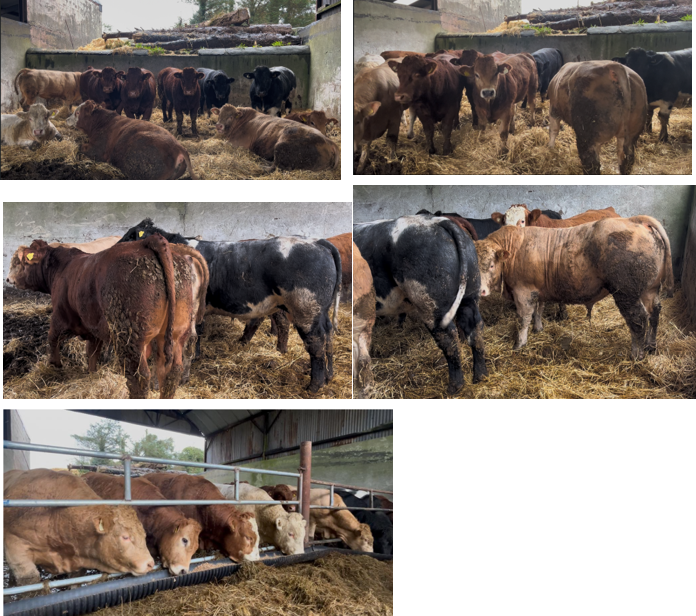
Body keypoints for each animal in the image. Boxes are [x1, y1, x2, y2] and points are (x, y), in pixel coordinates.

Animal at [5, 234, 196, 398]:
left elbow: (52, 339)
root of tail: (147, 241)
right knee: (170, 373)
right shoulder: (93, 327)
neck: (61, 267)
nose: (8, 279)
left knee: (139, 378)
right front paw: (91, 374)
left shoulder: (60, 316)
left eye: (19, 262)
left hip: (131, 339)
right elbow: (92, 354)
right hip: (174, 335)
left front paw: (55, 366)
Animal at [66, 100, 198, 180]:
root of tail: (178, 146)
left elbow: (80, 145)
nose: (66, 119)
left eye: (77, 112)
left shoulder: (97, 150)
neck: (101, 122)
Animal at [354, 215, 487, 395]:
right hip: (470, 293)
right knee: (475, 328)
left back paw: (454, 388)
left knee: (448, 338)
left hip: (432, 303)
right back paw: (481, 377)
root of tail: (440, 221)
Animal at [475, 216, 674, 358]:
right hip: (650, 289)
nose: (480, 291)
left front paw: (519, 344)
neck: (515, 248)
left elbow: (523, 319)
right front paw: (538, 329)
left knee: (638, 319)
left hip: (626, 293)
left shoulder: (523, 292)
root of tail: (636, 220)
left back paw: (636, 355)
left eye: (491, 265)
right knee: (654, 313)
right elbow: (538, 311)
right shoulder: (538, 290)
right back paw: (650, 346)